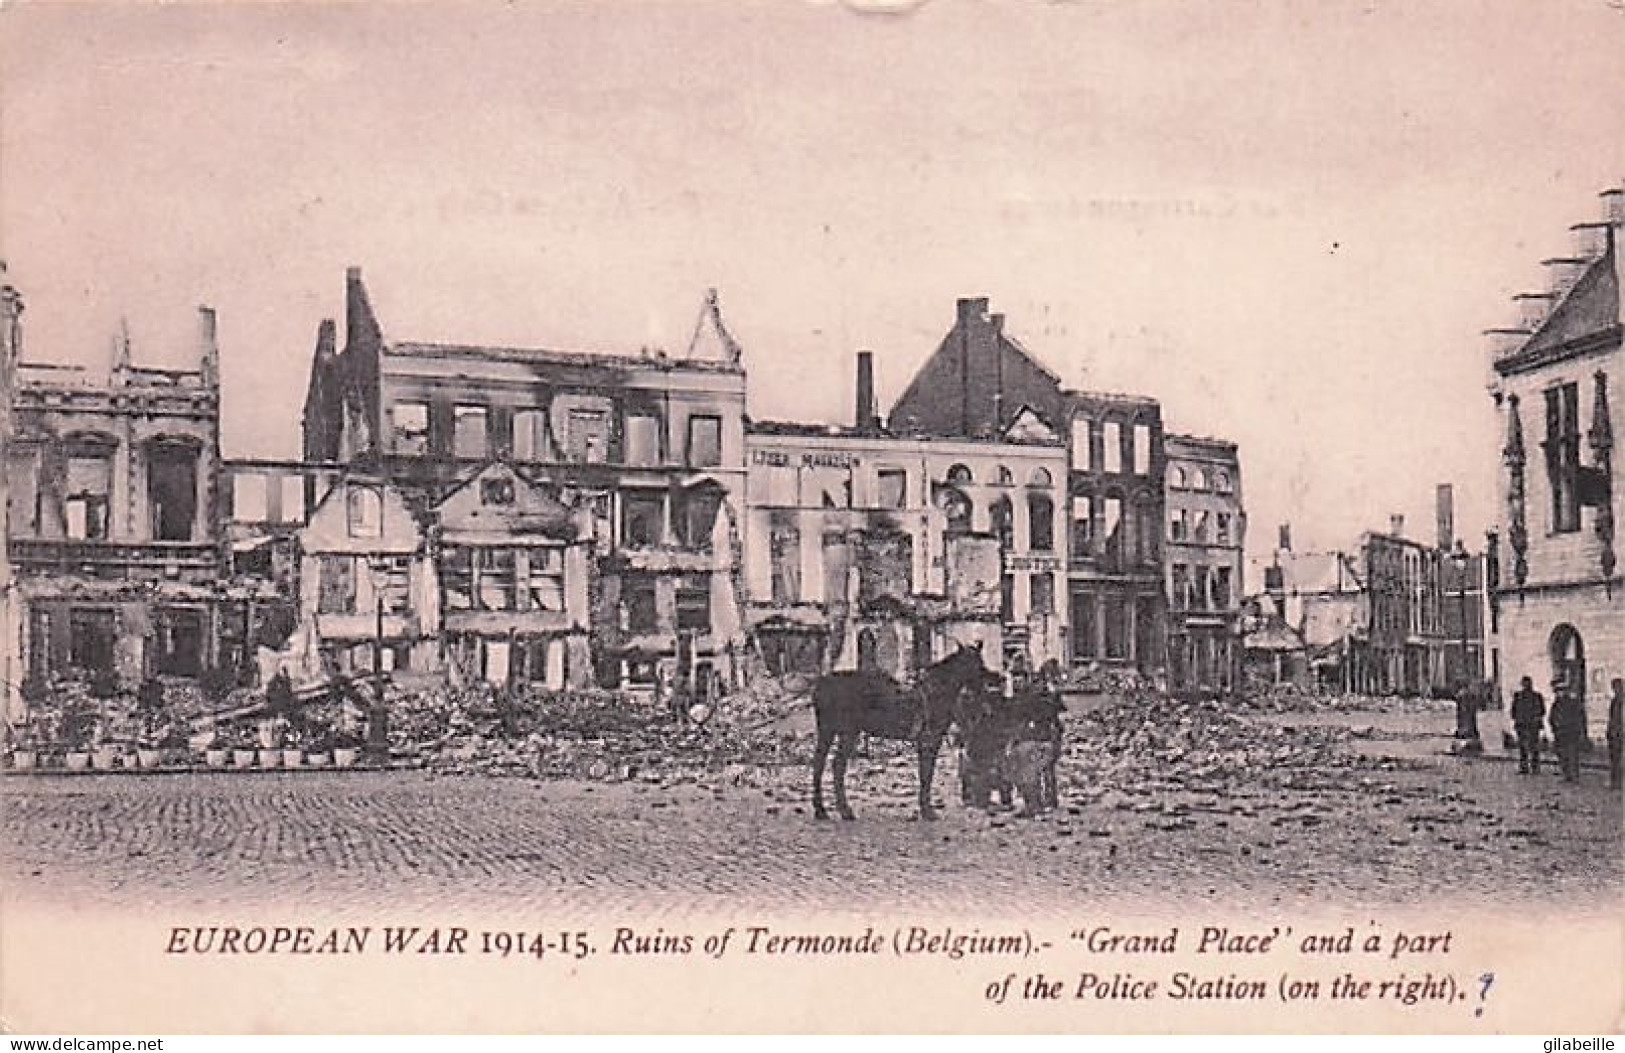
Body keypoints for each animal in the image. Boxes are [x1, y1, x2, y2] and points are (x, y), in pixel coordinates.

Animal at [809, 640, 994, 822]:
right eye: (974, 663)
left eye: (981, 661)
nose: (989, 685)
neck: (937, 691)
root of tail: (821, 683)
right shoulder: (929, 740)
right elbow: (926, 775)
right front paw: (928, 811)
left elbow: (926, 774)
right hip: (843, 732)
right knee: (830, 765)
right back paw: (834, 810)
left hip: (834, 732)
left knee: (826, 764)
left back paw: (829, 810)